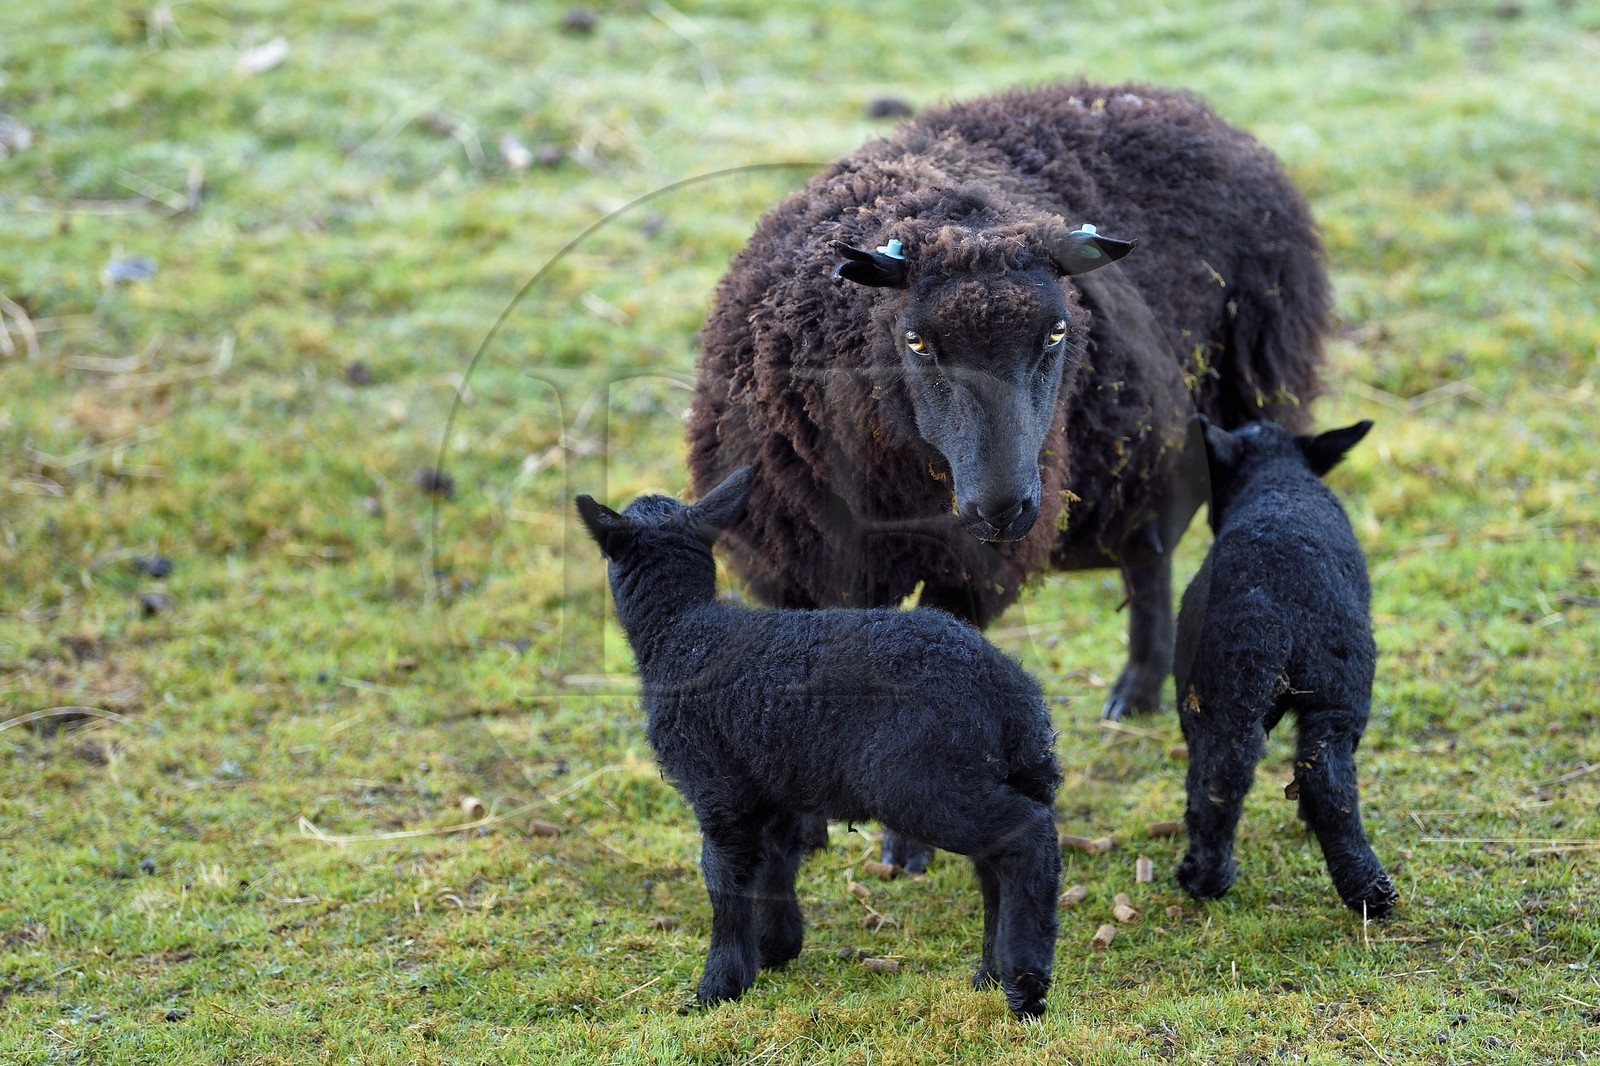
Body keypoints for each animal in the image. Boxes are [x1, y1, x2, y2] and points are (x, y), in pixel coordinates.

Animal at [574, 467, 1063, 1018]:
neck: (683, 631)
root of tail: (1009, 695)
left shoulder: (716, 783)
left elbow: (723, 877)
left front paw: (718, 986)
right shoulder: (774, 778)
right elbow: (777, 861)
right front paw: (775, 948)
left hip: (917, 778)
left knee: (1026, 834)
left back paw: (1025, 984)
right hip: (988, 771)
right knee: (997, 863)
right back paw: (988, 974)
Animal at [687, 81, 1329, 871]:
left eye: (1057, 332)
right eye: (917, 341)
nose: (1004, 508)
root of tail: (1174, 101)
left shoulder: (967, 568)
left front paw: (909, 843)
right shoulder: (788, 558)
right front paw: (800, 826)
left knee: (1156, 549)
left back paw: (1141, 686)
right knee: (1147, 547)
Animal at [1173, 418, 1398, 917]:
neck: (1276, 475)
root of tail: (1272, 601)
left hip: (1216, 689)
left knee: (1219, 776)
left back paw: (1205, 876)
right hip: (1341, 688)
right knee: (1326, 776)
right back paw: (1368, 888)